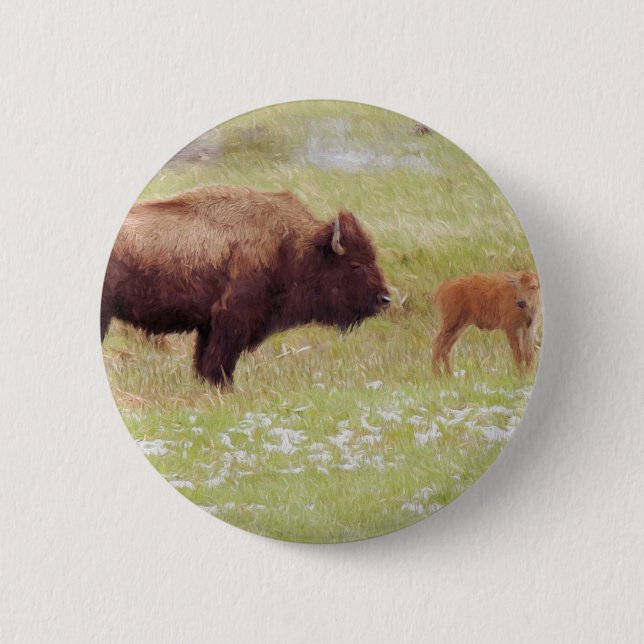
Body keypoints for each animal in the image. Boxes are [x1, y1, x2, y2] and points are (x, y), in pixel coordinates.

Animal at [101, 184, 390, 386]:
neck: (292, 246)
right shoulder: (231, 321)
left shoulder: (210, 327)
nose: (384, 299)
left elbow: (206, 361)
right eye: (355, 264)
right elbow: (217, 363)